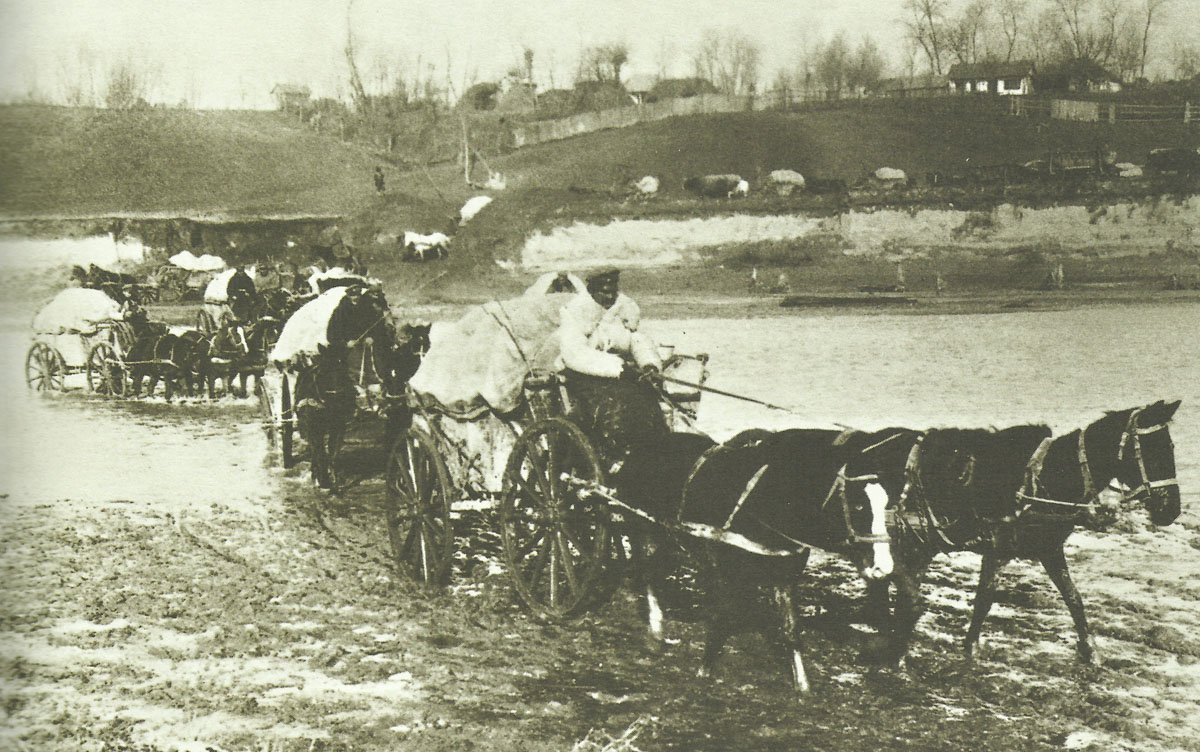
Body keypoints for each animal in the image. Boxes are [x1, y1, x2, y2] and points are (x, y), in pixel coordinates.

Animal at [897, 402, 1176, 662]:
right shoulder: (997, 549)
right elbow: (984, 598)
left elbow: (1073, 597)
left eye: (1171, 447)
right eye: (1152, 449)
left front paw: (1089, 649)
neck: (1043, 477)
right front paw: (971, 646)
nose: (1172, 510)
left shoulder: (1050, 548)